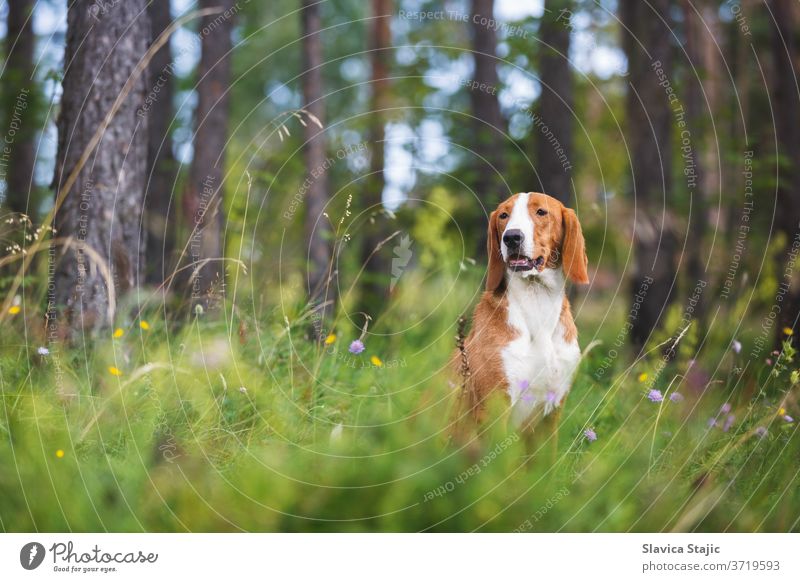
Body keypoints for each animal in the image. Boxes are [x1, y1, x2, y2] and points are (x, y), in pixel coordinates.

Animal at [456, 194, 588, 436]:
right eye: (503, 215)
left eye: (541, 212)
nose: (511, 237)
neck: (536, 300)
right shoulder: (495, 409)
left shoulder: (551, 414)